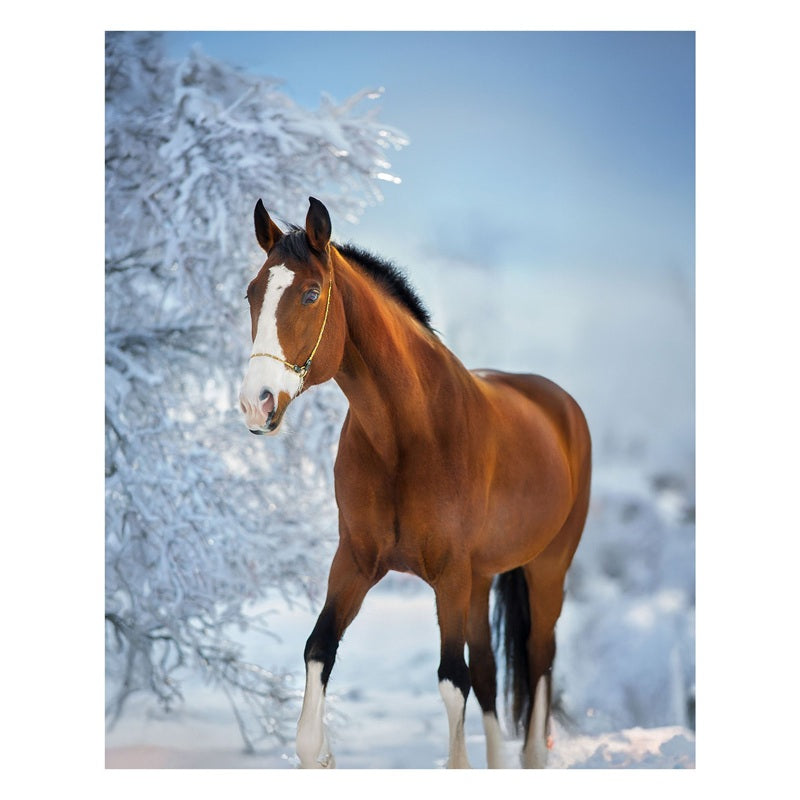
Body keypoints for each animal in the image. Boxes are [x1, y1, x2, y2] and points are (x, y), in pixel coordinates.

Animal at [238, 197, 591, 768]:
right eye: (252, 293)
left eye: (311, 293)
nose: (256, 403)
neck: (407, 434)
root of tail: (559, 404)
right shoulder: (357, 562)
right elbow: (318, 650)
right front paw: (322, 753)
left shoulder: (448, 575)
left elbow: (452, 681)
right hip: (481, 580)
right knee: (490, 674)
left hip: (545, 572)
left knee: (538, 666)